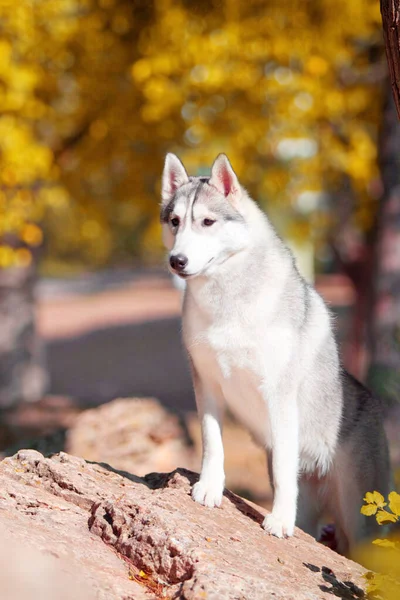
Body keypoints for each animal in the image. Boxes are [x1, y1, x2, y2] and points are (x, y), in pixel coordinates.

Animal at [159, 151, 390, 552]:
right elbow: (212, 444)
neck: (227, 301)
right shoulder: (206, 385)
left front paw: (279, 520)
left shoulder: (278, 396)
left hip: (360, 524)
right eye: (175, 222)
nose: (177, 261)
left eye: (207, 221)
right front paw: (209, 488)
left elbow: (284, 469)